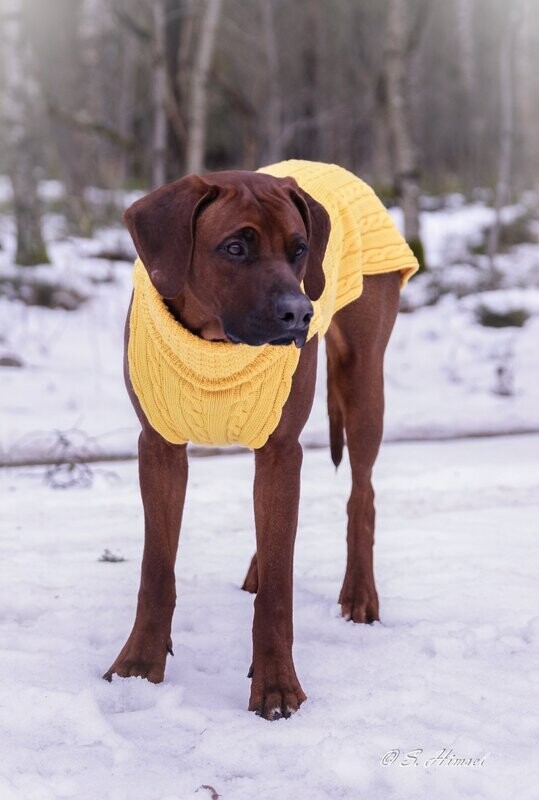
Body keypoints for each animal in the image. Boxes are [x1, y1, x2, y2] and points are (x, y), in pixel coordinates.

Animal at [105, 161, 418, 720]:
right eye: (235, 247)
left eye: (299, 249)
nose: (300, 314)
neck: (213, 342)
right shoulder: (159, 446)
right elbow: (156, 570)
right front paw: (139, 667)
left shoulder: (280, 449)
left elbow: (279, 587)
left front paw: (276, 685)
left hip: (362, 382)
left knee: (362, 493)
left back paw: (360, 594)